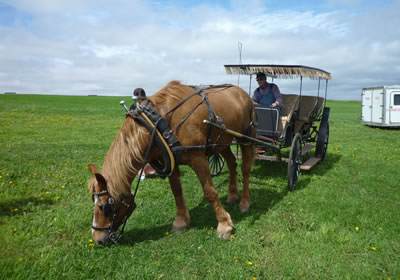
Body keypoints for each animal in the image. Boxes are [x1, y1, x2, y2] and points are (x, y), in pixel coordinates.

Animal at [87, 80, 256, 244]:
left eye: (105, 207)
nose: (97, 239)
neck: (157, 124)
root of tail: (243, 94)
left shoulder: (198, 158)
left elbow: (210, 192)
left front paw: (224, 224)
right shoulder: (171, 161)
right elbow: (176, 190)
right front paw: (181, 221)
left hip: (246, 139)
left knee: (245, 169)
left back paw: (245, 202)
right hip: (222, 142)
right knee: (231, 162)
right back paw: (232, 195)